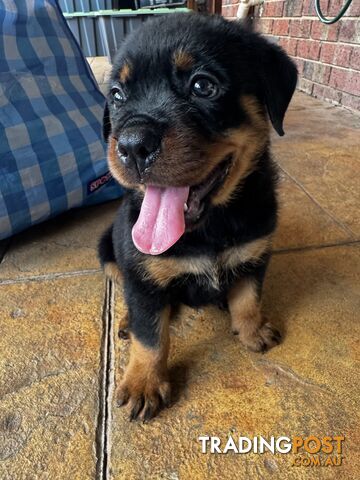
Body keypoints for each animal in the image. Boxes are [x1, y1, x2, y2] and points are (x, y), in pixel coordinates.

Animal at [97, 12, 296, 420]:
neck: (210, 227)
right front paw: (144, 382)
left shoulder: (256, 251)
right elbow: (149, 334)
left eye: (203, 86)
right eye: (117, 95)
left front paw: (252, 330)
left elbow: (248, 296)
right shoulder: (140, 269)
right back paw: (125, 319)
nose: (132, 146)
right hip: (107, 246)